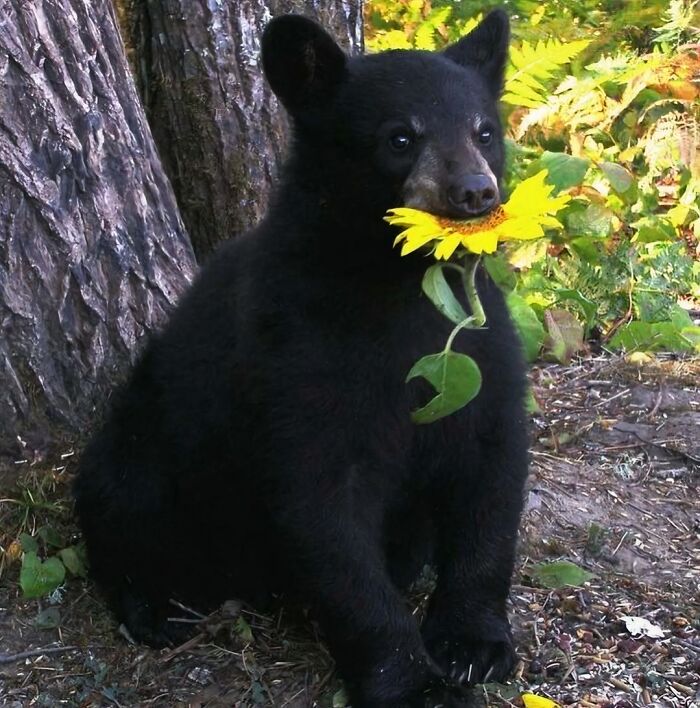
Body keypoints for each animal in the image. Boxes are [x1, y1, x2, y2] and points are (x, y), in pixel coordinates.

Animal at [73, 10, 529, 707]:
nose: (476, 190)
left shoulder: (480, 352)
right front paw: (415, 683)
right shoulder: (297, 356)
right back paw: (157, 607)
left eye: (484, 130)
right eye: (400, 137)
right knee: (121, 503)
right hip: (144, 445)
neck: (397, 283)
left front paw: (473, 643)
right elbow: (325, 510)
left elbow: (492, 478)